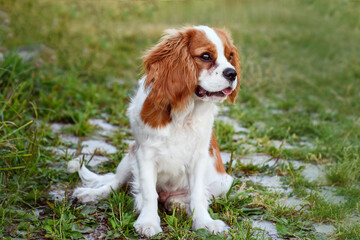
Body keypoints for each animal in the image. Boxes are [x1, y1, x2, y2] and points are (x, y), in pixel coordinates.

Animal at [67, 25, 242, 237]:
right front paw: (149, 222)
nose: (232, 73)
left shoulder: (199, 158)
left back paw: (179, 204)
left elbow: (198, 195)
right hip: (130, 156)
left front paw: (204, 222)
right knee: (114, 184)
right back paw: (91, 194)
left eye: (230, 56)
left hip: (223, 183)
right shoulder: (144, 154)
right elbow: (149, 193)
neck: (183, 113)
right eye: (206, 56)